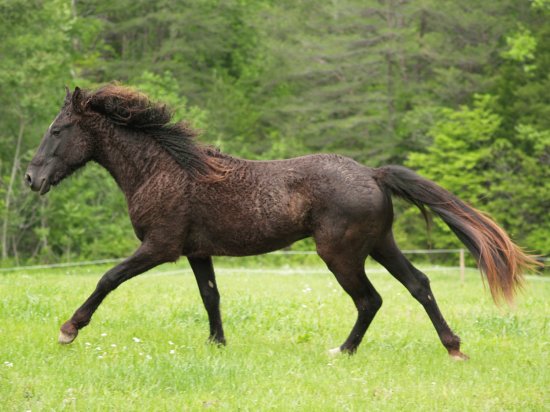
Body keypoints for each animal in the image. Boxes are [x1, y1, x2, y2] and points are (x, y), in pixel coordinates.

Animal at [25, 85, 540, 358]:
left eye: (56, 130)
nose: (32, 178)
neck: (164, 170)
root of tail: (373, 173)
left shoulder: (160, 247)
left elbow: (108, 278)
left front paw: (68, 329)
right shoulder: (196, 252)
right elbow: (211, 296)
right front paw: (218, 345)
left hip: (340, 254)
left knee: (370, 300)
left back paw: (342, 351)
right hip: (380, 245)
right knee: (419, 284)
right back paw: (452, 347)